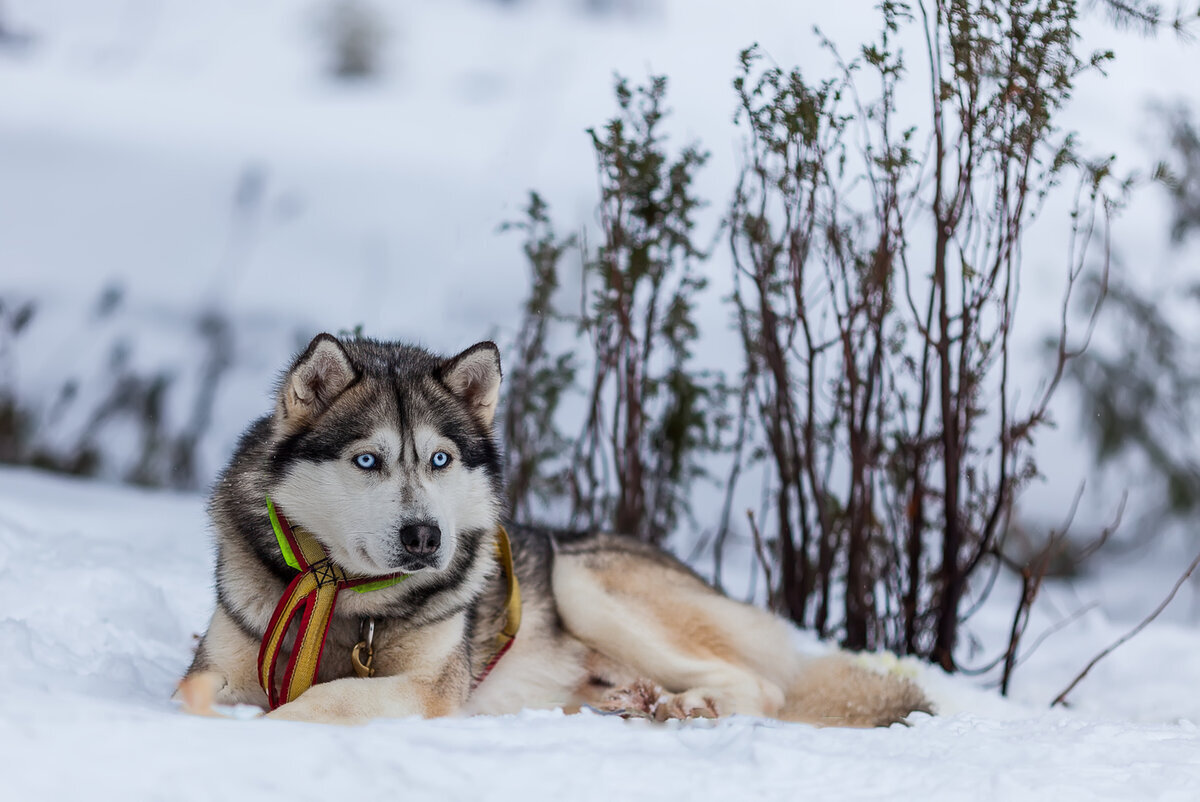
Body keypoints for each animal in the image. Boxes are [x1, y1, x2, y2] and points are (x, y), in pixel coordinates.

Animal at [177, 331, 926, 725]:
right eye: (368, 460)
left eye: (440, 459)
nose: (425, 537)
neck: (347, 597)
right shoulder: (222, 660)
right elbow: (192, 691)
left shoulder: (426, 687)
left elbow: (314, 703)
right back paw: (630, 699)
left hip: (584, 582)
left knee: (762, 688)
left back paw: (688, 703)